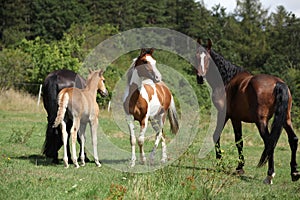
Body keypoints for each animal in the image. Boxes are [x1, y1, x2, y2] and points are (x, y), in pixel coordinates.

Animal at [196, 38, 298, 184]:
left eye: (207, 58)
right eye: (196, 56)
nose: (200, 77)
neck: (228, 80)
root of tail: (278, 83)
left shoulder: (228, 116)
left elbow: (223, 137)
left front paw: (226, 164)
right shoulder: (236, 118)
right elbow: (239, 141)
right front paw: (239, 166)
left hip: (261, 122)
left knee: (269, 142)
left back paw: (269, 175)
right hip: (286, 119)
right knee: (293, 139)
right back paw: (294, 173)